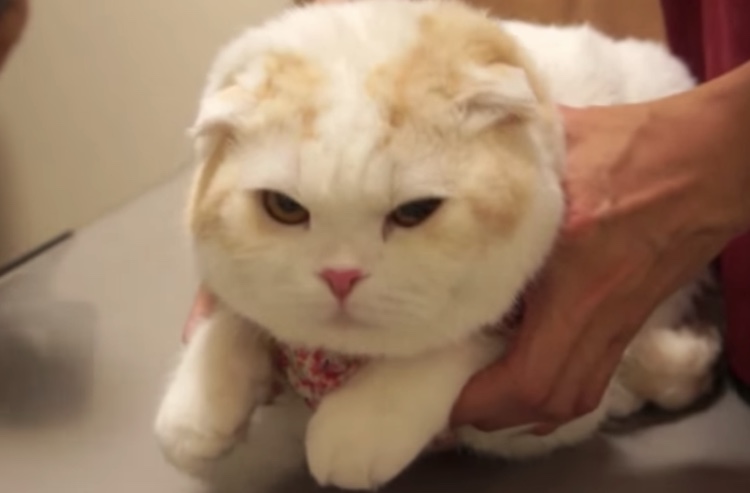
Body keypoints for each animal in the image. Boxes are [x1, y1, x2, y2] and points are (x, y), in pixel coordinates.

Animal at [154, 1, 721, 490]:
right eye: (284, 208)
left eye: (414, 212)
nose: (340, 275)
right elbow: (231, 323)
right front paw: (200, 402)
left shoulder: (545, 413)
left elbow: (464, 342)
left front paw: (360, 423)